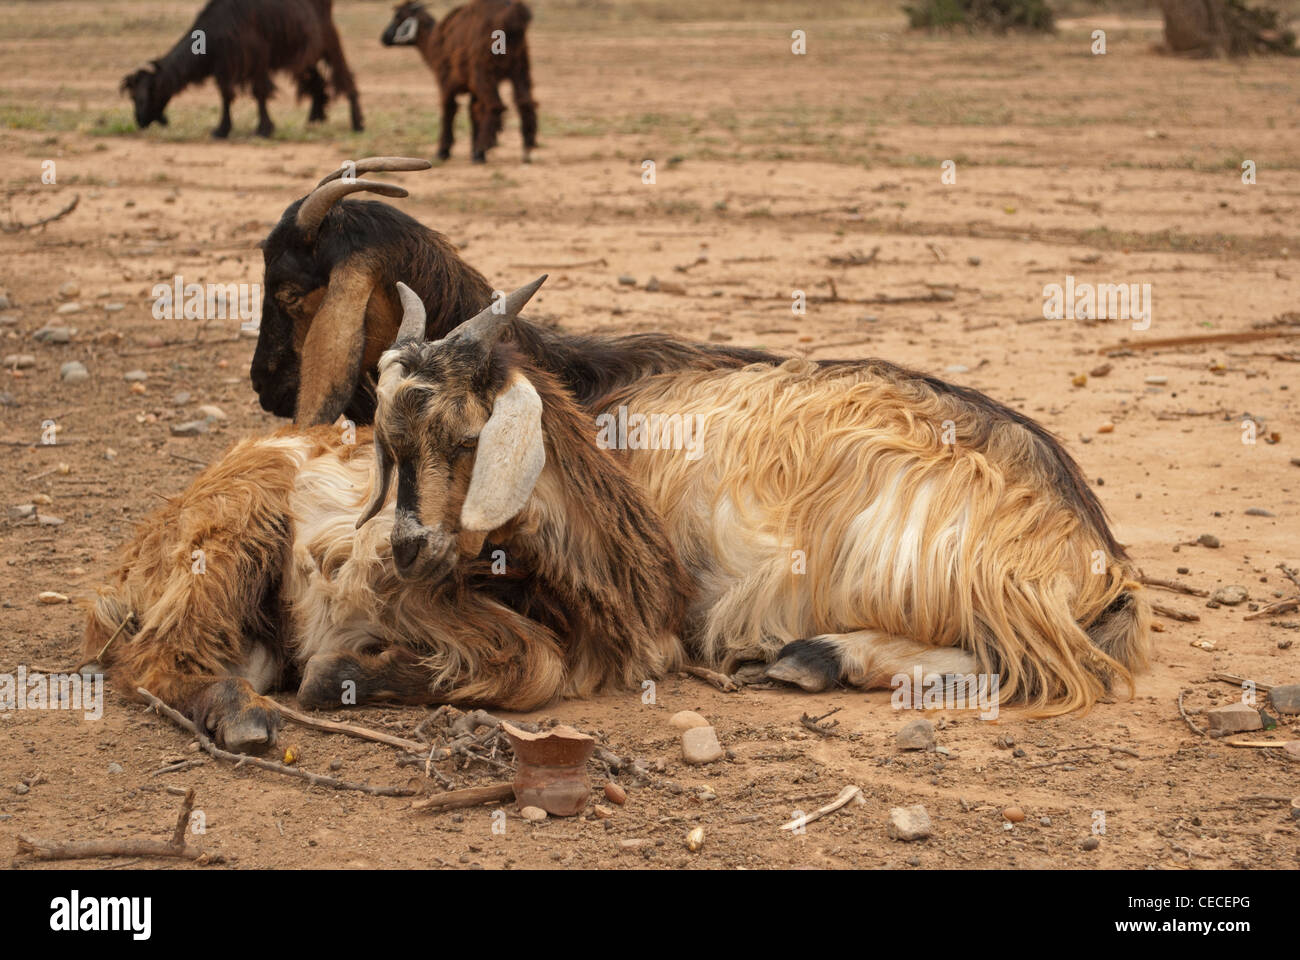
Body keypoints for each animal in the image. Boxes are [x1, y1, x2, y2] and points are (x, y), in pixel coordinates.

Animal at [121, 0, 361, 137]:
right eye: (132, 98)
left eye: (140, 98)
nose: (140, 121)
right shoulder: (224, 66)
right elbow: (226, 95)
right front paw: (222, 129)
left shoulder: (257, 59)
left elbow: (259, 92)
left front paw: (264, 129)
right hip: (304, 52)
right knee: (316, 80)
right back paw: (315, 117)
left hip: (328, 40)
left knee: (344, 76)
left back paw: (357, 122)